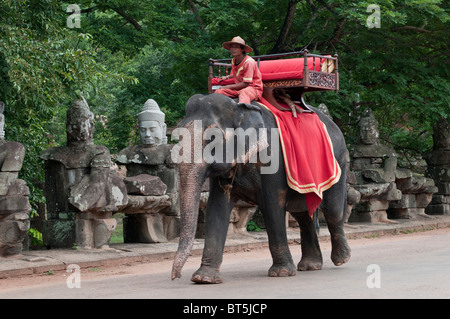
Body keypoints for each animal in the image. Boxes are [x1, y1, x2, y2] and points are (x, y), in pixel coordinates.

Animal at [171, 93, 350, 284]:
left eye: (213, 137)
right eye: (179, 136)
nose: (175, 276)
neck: (239, 107)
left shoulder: (273, 161)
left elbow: (272, 206)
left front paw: (282, 273)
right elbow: (216, 208)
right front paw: (204, 278)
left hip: (338, 161)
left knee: (332, 211)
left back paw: (341, 259)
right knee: (304, 216)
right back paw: (310, 266)